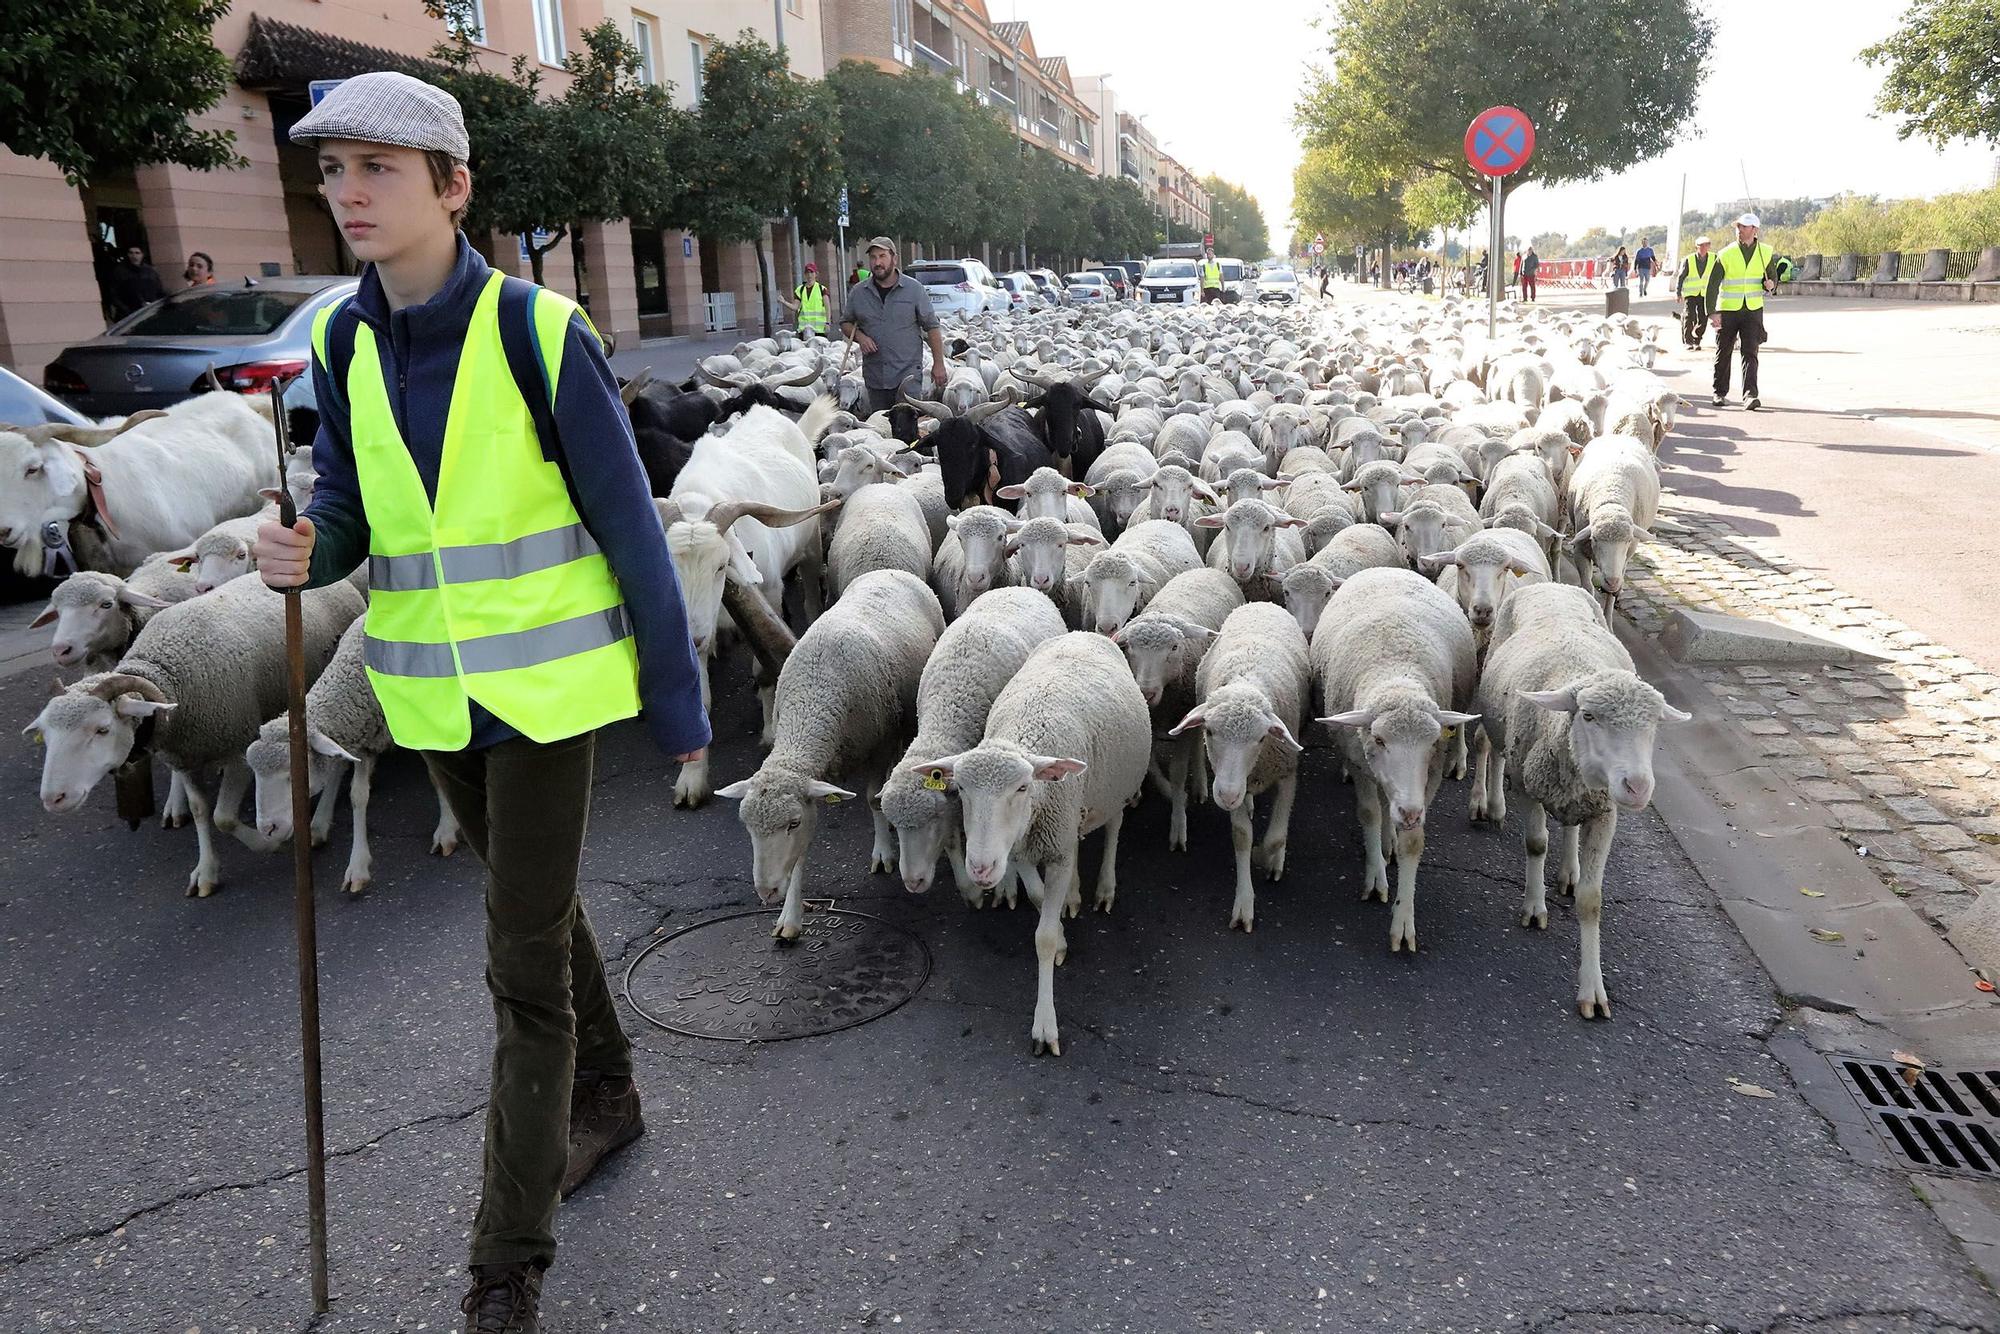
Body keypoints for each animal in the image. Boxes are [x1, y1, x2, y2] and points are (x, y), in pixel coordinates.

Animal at [716, 572, 940, 940]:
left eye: (791, 823)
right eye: (746, 825)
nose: (766, 892)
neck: (813, 699)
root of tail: (888, 571)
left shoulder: (879, 745)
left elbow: (873, 799)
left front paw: (884, 852)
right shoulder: (812, 784)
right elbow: (800, 856)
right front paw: (790, 916)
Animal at [876, 588, 1064, 904]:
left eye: (934, 818)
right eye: (897, 825)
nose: (913, 882)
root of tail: (1017, 587)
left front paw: (1001, 886)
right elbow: (954, 838)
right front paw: (970, 889)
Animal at [916, 632, 1152, 1056]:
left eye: (1023, 787)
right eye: (961, 789)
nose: (980, 868)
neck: (1022, 735)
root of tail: (1084, 633)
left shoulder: (1052, 843)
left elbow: (1041, 937)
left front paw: (1045, 1025)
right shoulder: (1023, 845)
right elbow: (1040, 897)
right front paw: (1059, 929)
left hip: (1116, 787)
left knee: (1113, 827)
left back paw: (1104, 887)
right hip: (1076, 806)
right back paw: (1073, 893)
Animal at [1320, 568, 1480, 956]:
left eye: (1432, 741)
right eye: (1379, 739)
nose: (1409, 812)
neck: (1396, 673)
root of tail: (1387, 569)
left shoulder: (1430, 775)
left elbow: (1413, 844)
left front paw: (1403, 921)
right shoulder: (1359, 762)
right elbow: (1369, 814)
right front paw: (1376, 876)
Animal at [1472, 584, 1688, 1024]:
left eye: (1654, 724)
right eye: (1588, 716)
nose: (1637, 787)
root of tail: (1551, 584)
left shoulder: (1605, 813)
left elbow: (1592, 901)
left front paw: (1593, 989)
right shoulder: (1530, 788)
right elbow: (1536, 845)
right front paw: (1534, 907)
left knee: (1570, 824)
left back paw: (1569, 870)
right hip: (1502, 725)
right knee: (1495, 752)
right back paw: (1494, 804)